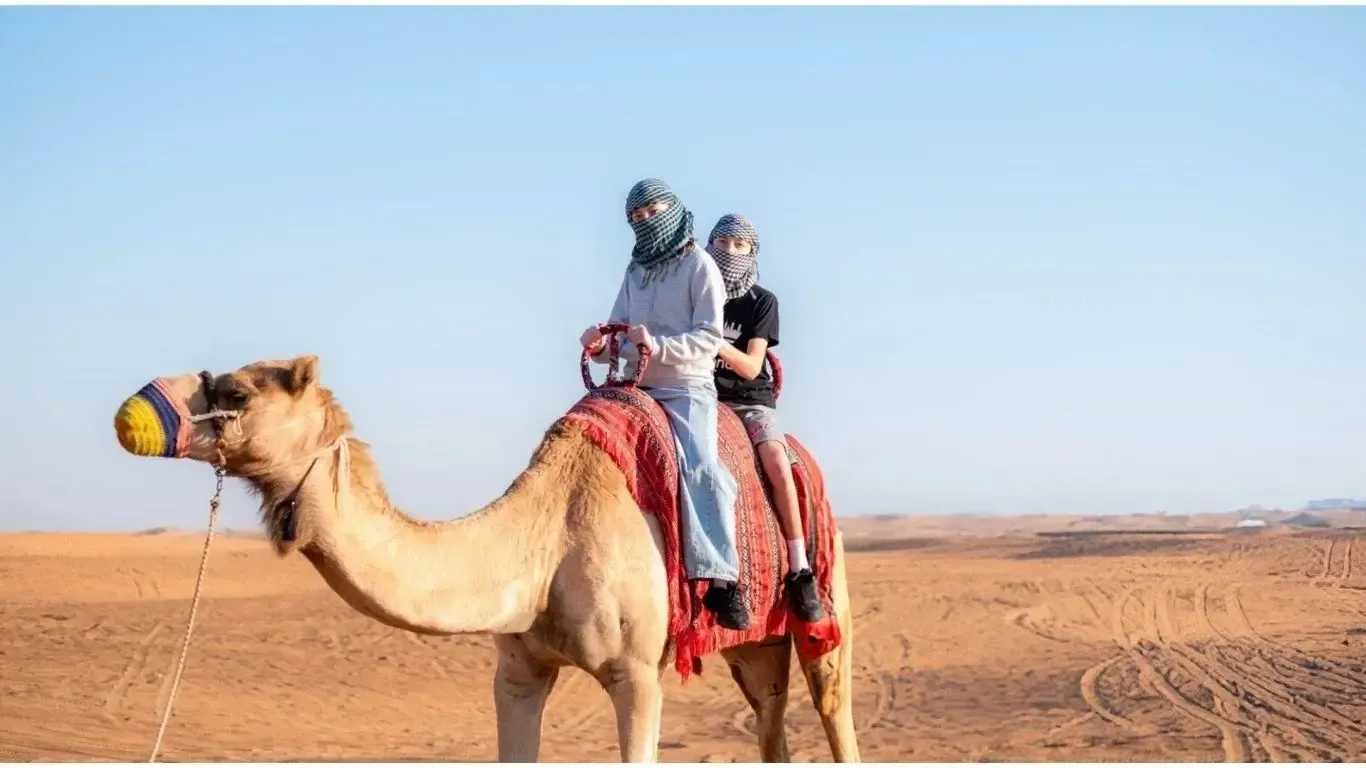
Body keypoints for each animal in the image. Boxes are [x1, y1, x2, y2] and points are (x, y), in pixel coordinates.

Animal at [112, 354, 859, 763]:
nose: (133, 410)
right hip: (753, 647)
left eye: (236, 393)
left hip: (825, 609)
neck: (547, 544)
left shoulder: (637, 672)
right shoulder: (518, 671)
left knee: (832, 707)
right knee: (769, 721)